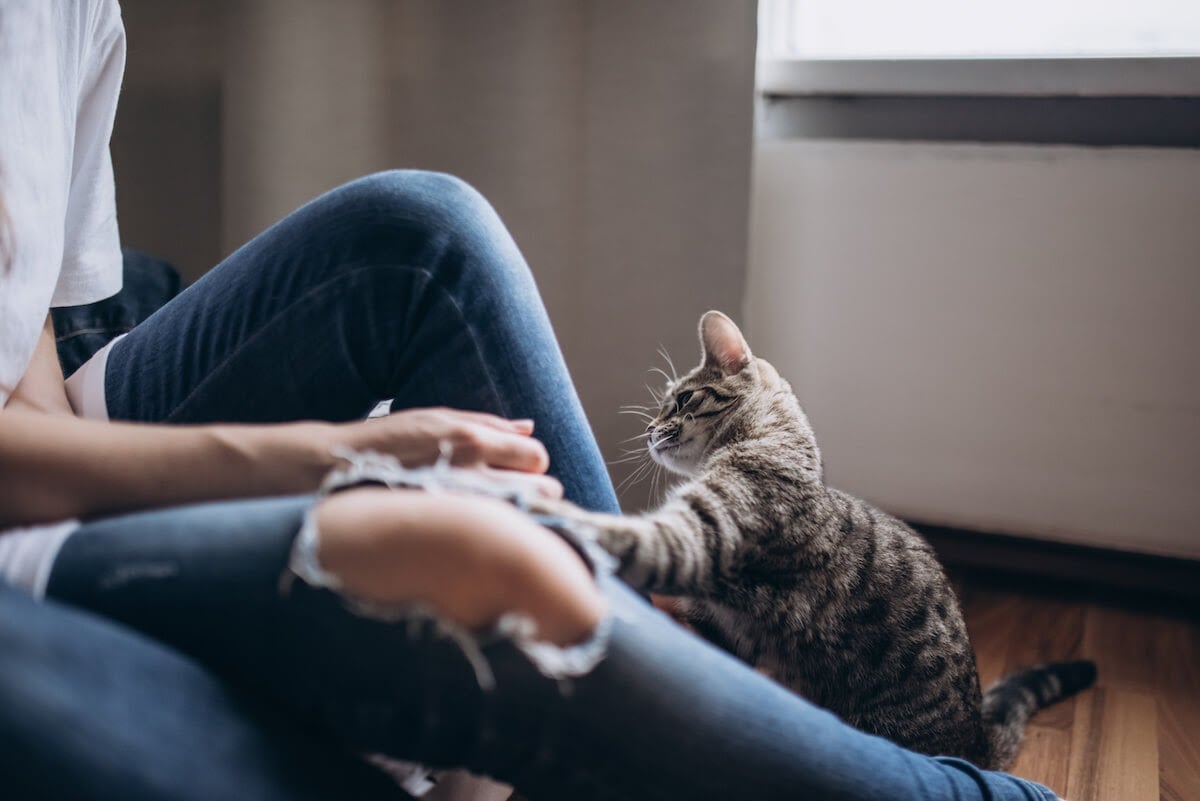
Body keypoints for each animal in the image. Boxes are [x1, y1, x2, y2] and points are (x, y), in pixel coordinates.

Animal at [535, 309, 1099, 767]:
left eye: (682, 400)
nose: (650, 430)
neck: (775, 443)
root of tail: (976, 742)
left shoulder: (700, 539)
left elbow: (627, 537)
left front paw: (539, 506)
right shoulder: (716, 625)